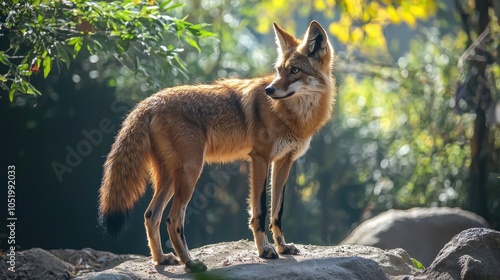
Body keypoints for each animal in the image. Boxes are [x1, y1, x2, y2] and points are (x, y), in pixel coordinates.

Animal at [99, 20, 336, 274]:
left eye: (294, 71)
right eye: (279, 70)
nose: (269, 91)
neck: (293, 116)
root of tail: (148, 102)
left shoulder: (284, 161)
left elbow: (277, 211)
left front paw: (282, 247)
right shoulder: (260, 159)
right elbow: (260, 211)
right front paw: (265, 250)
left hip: (170, 178)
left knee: (151, 215)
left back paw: (162, 259)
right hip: (190, 173)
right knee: (173, 219)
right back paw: (190, 263)